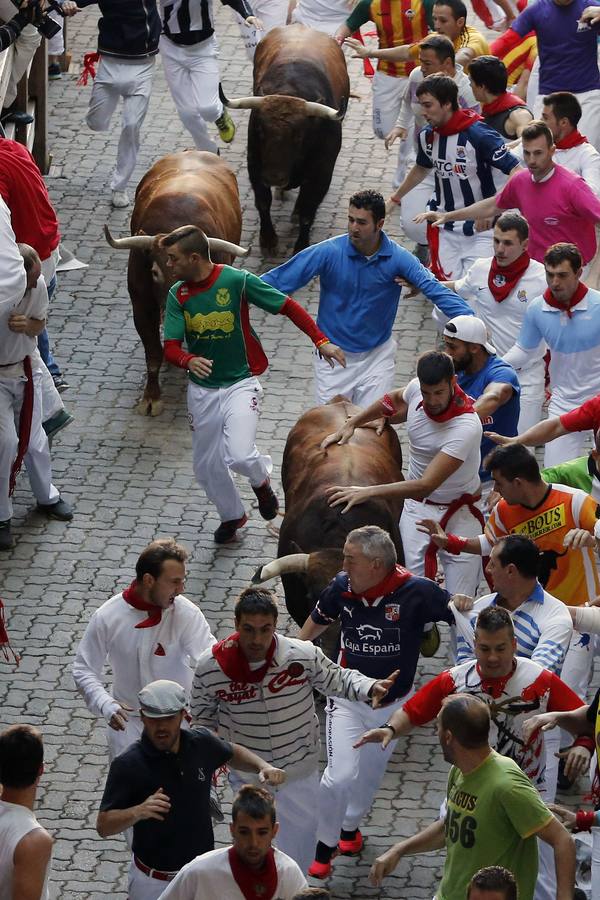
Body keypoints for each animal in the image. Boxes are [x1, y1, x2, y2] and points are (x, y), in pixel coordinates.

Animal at [221, 23, 352, 253]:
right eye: (261, 130)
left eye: (299, 135)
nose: (275, 177)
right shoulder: (255, 164)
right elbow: (263, 201)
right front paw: (268, 238)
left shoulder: (322, 172)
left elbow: (308, 210)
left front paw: (301, 245)